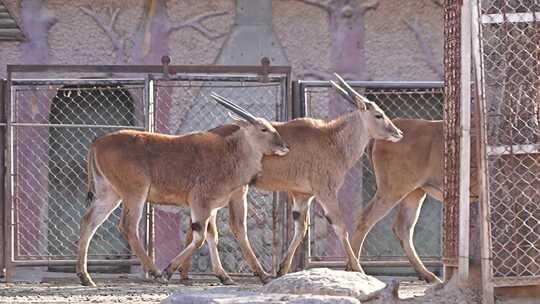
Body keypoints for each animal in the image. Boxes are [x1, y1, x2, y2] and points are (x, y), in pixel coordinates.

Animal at [76, 93, 292, 288]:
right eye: (263, 129)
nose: (284, 147)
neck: (229, 153)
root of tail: (98, 142)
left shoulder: (211, 208)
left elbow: (213, 236)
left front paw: (224, 276)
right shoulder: (200, 202)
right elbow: (200, 238)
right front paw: (168, 271)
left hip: (109, 195)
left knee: (89, 222)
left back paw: (85, 277)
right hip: (134, 194)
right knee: (128, 226)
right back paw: (156, 272)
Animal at [179, 74, 402, 280]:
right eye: (378, 115)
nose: (398, 132)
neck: (333, 140)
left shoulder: (302, 195)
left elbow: (301, 230)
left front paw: (282, 269)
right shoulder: (325, 192)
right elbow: (340, 227)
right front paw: (358, 268)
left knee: (206, 225)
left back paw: (191, 272)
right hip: (235, 190)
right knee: (234, 227)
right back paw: (253, 273)